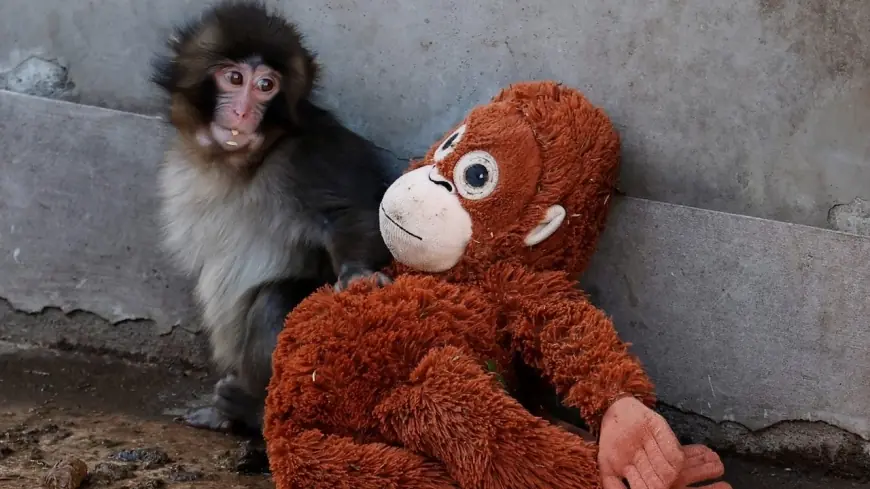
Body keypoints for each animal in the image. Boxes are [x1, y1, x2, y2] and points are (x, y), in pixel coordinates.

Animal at [151, 0, 396, 436]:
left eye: (266, 85)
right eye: (234, 78)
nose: (243, 111)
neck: (242, 163)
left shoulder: (309, 155)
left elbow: (355, 213)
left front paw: (357, 275)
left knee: (274, 301)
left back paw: (250, 411)